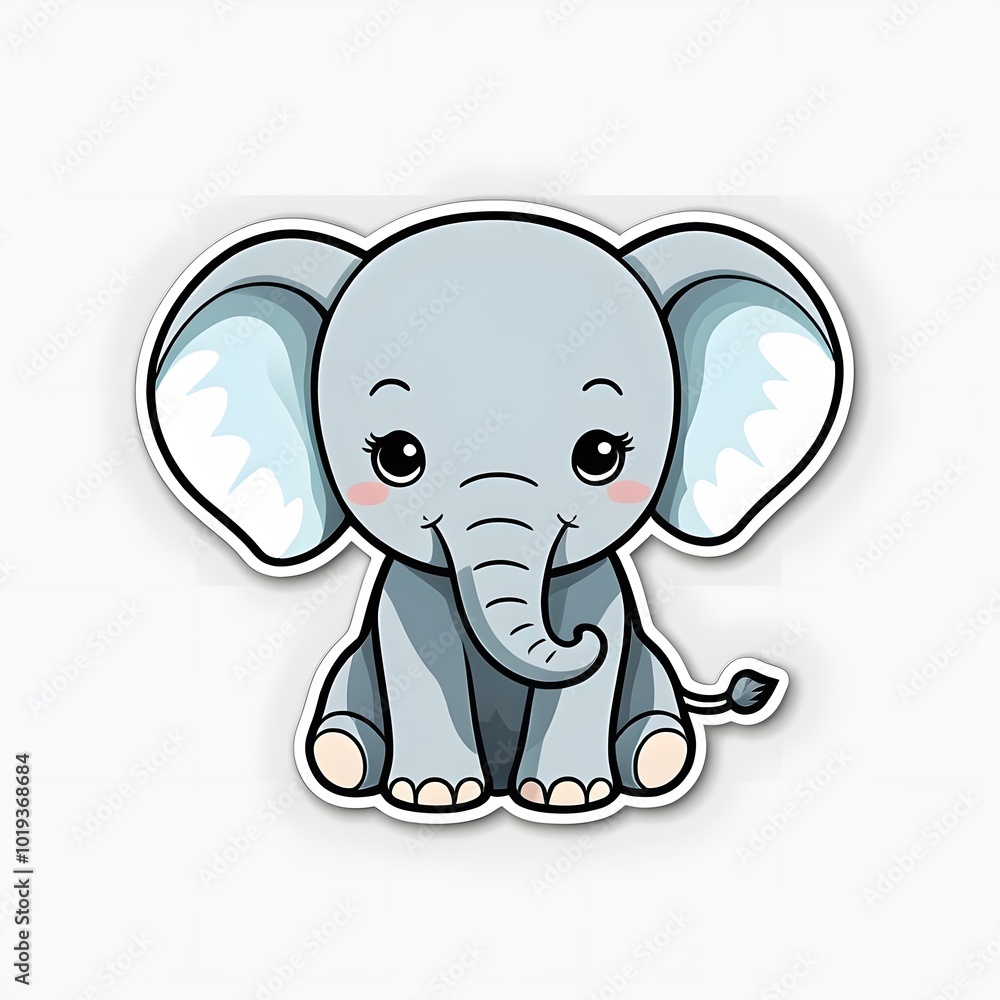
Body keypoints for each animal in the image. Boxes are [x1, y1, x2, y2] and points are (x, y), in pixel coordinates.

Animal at [137, 202, 852, 824]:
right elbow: (418, 656)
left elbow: (599, 652)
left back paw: (655, 758)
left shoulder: (603, 591)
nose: (575, 640)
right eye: (397, 456)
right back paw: (344, 759)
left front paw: (568, 796)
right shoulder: (406, 596)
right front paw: (433, 797)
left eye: (601, 455)